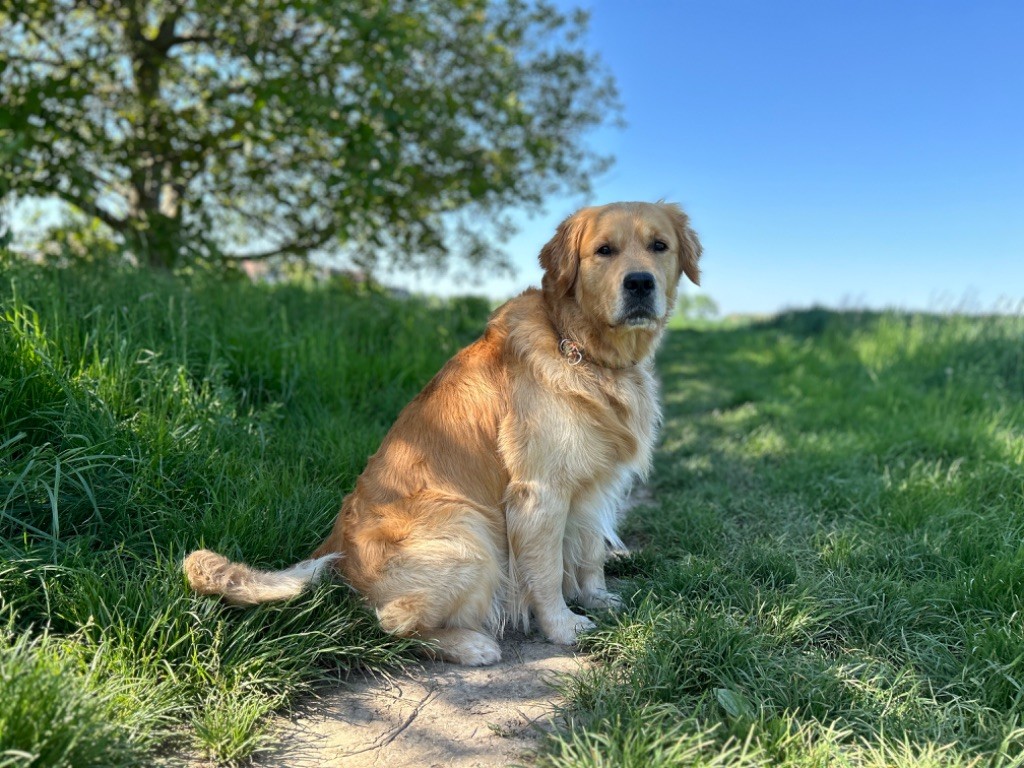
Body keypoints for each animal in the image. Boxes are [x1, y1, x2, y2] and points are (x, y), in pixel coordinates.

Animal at [184, 201, 700, 663]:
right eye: (604, 251)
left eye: (659, 246)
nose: (640, 283)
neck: (580, 347)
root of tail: (336, 549)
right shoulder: (539, 492)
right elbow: (547, 571)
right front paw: (563, 627)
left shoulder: (595, 484)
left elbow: (591, 553)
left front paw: (598, 599)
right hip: (470, 532)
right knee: (392, 621)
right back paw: (470, 645)